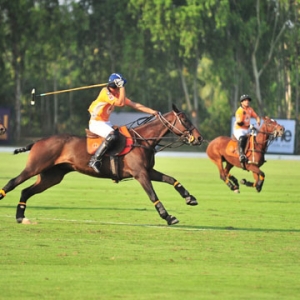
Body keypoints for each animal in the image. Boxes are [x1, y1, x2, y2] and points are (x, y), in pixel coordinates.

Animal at [0, 105, 204, 225]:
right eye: (185, 119)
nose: (199, 138)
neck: (142, 140)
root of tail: (37, 141)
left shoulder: (148, 170)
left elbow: (171, 179)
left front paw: (190, 198)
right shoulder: (140, 173)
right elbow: (153, 194)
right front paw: (168, 217)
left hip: (51, 176)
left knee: (25, 191)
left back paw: (20, 217)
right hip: (35, 166)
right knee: (13, 182)